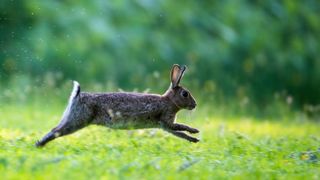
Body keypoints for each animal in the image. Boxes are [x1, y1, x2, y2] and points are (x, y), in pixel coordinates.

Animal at [35, 64, 200, 147]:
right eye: (185, 94)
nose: (195, 105)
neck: (169, 101)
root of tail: (78, 95)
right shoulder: (166, 120)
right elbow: (181, 127)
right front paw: (196, 131)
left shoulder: (165, 126)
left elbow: (180, 134)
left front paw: (194, 140)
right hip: (78, 120)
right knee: (57, 131)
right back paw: (39, 144)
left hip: (71, 116)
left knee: (55, 129)